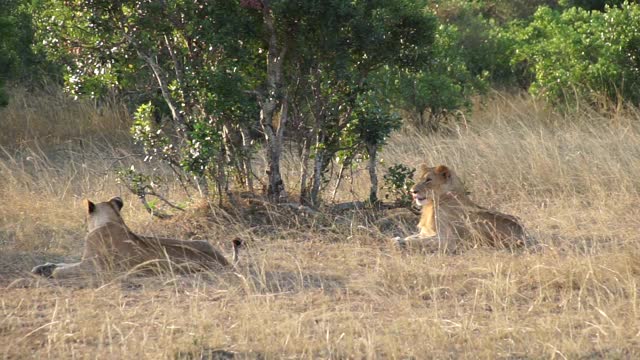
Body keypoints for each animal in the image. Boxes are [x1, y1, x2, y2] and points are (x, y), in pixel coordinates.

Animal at [30, 197, 241, 278]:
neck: (113, 219)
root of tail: (223, 261)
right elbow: (63, 262)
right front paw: (42, 267)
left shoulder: (93, 266)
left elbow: (65, 269)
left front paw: (53, 272)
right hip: (200, 241)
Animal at [392, 165, 532, 252]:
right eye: (420, 179)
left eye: (428, 180)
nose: (412, 191)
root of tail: (524, 233)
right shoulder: (426, 232)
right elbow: (412, 237)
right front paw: (399, 239)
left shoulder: (448, 241)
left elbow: (416, 241)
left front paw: (400, 243)